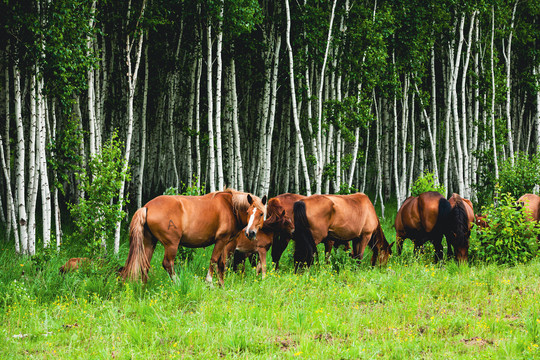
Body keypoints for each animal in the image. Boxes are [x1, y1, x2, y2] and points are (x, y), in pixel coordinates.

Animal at [120, 188, 268, 284]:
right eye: (248, 212)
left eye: (261, 213)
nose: (250, 233)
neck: (231, 207)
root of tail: (146, 207)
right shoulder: (221, 240)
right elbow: (214, 260)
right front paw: (209, 282)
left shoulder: (226, 243)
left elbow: (221, 263)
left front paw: (221, 285)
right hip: (171, 244)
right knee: (167, 264)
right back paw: (178, 282)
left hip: (150, 242)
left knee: (145, 264)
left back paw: (143, 287)